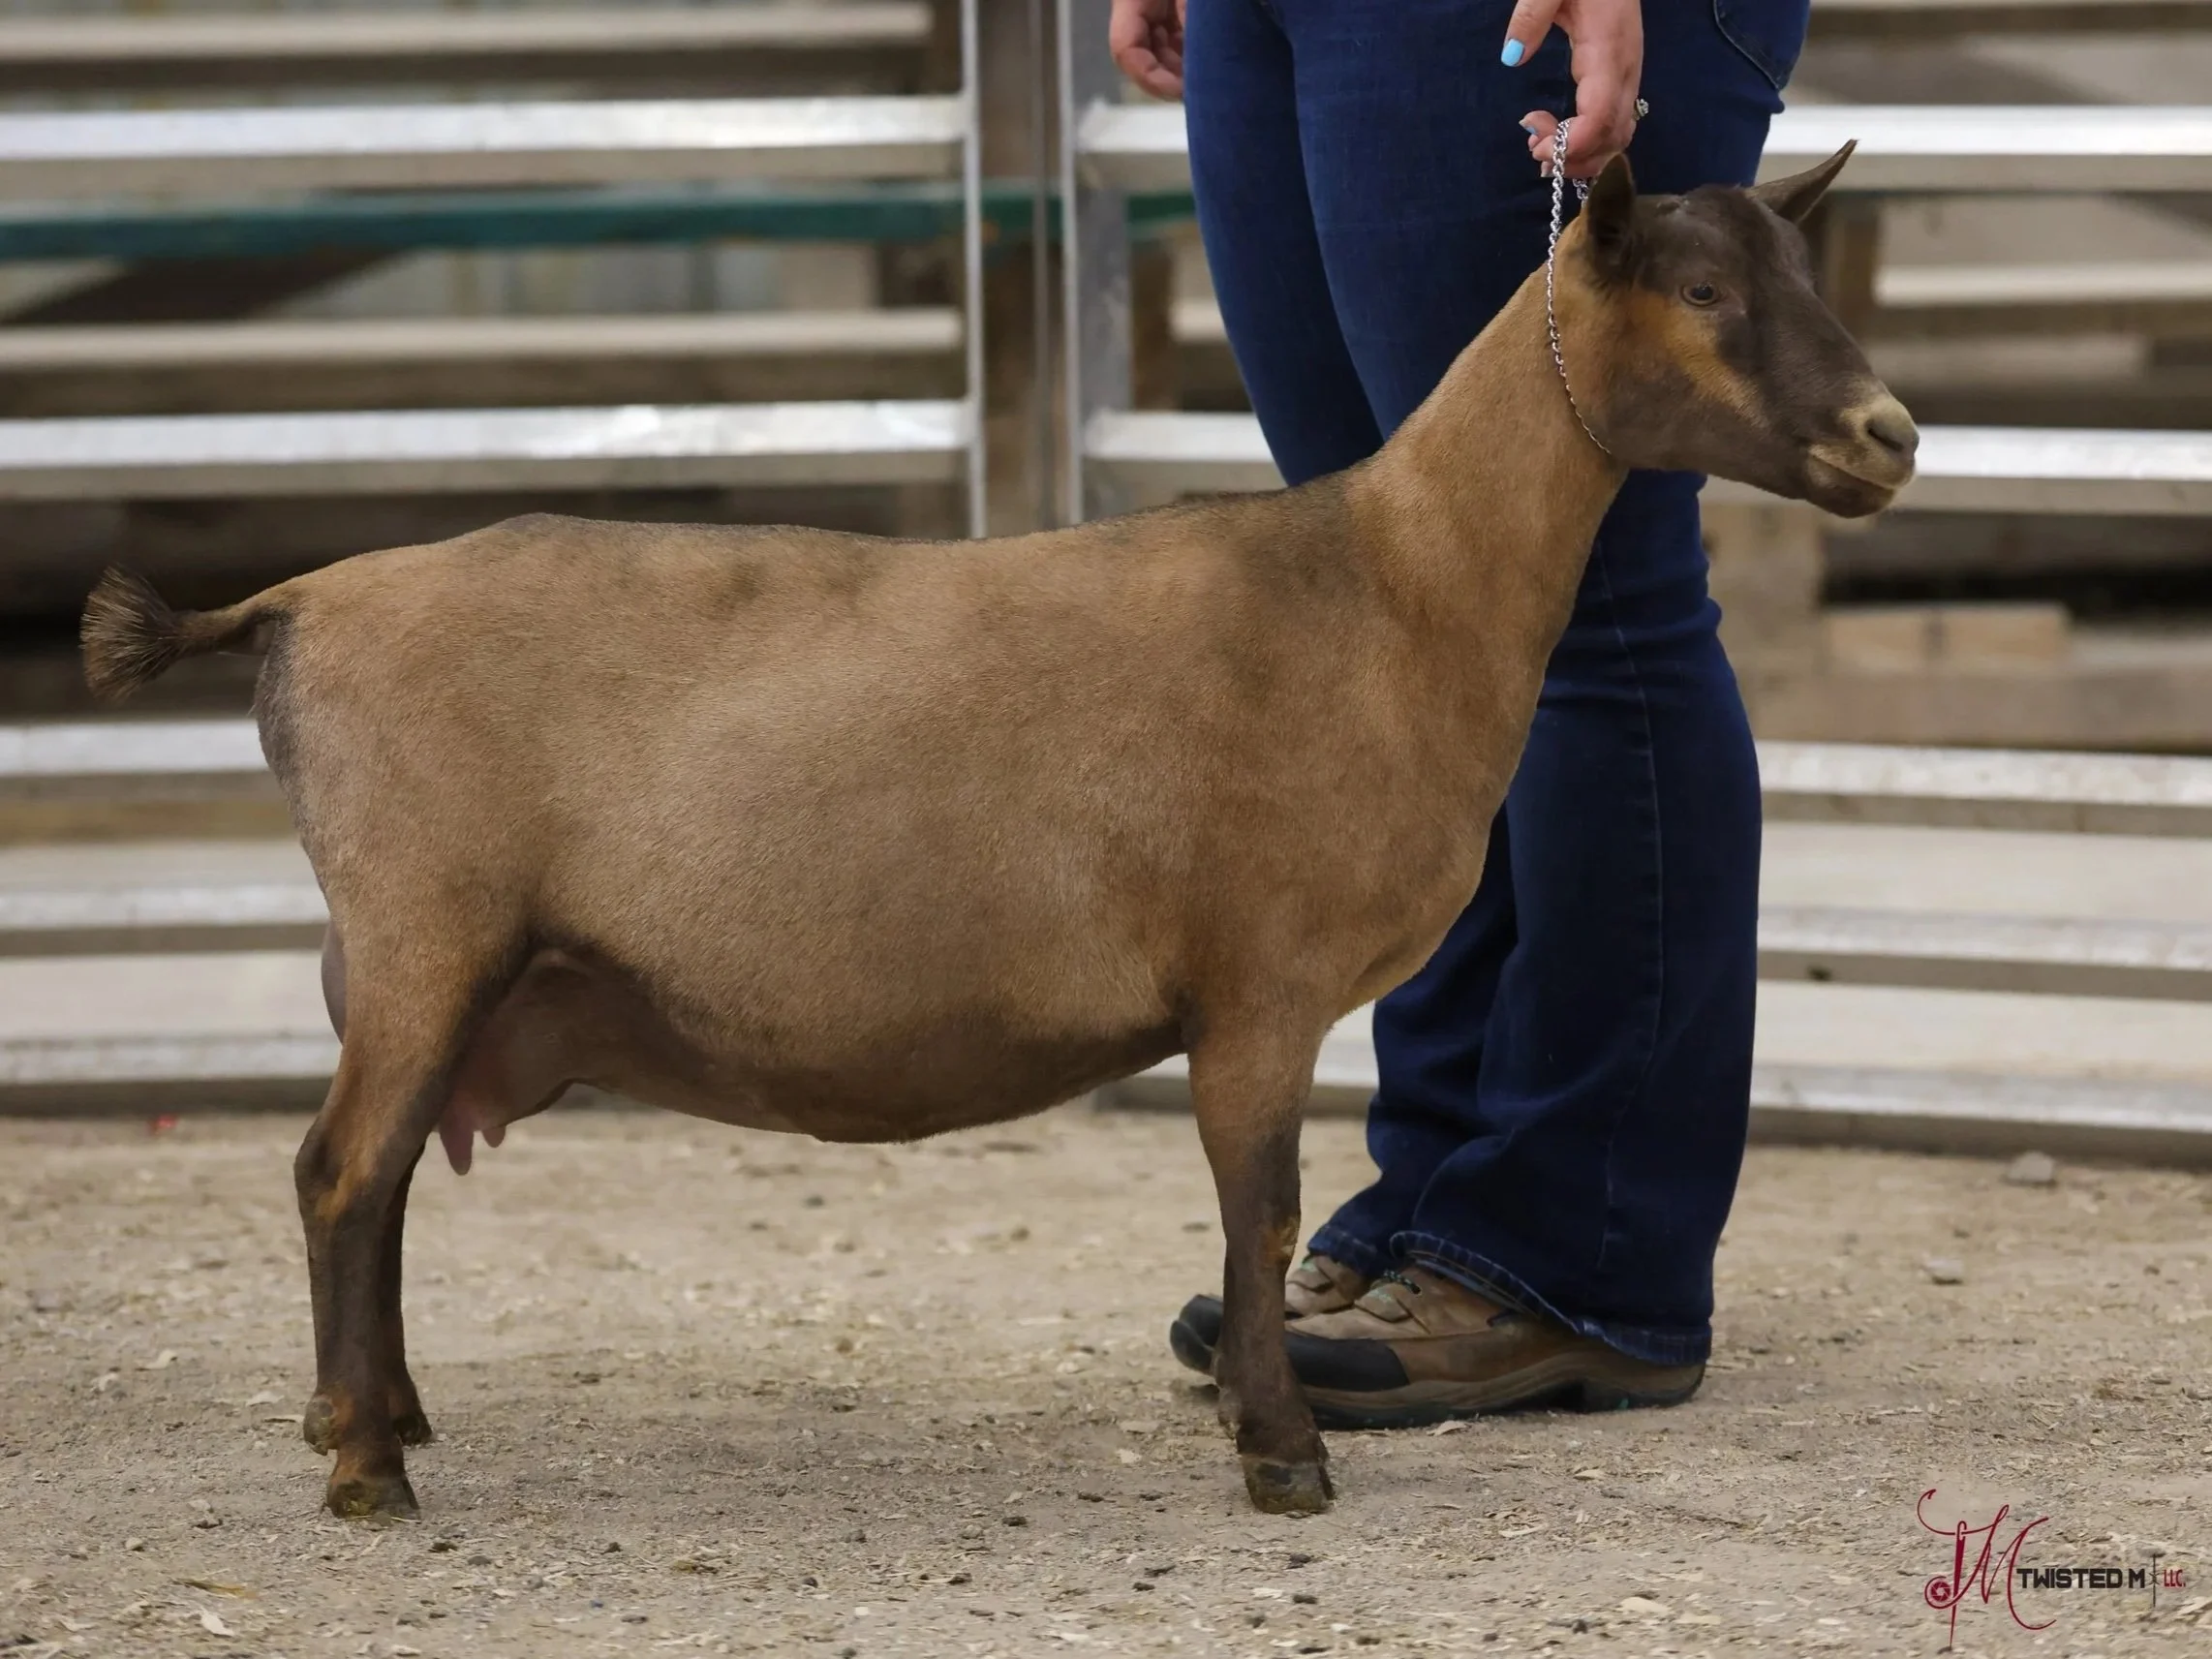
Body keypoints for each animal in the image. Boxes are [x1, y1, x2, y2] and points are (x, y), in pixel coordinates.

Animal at [81, 147, 1914, 1521]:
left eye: (1799, 275)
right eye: (1702, 292)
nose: (1889, 434)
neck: (1393, 585)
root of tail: (303, 600)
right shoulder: (1257, 980)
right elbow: (1257, 1214)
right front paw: (1282, 1453)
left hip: (424, 953)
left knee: (376, 1181)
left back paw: (384, 1413)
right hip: (425, 921)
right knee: (341, 1172)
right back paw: (365, 1467)